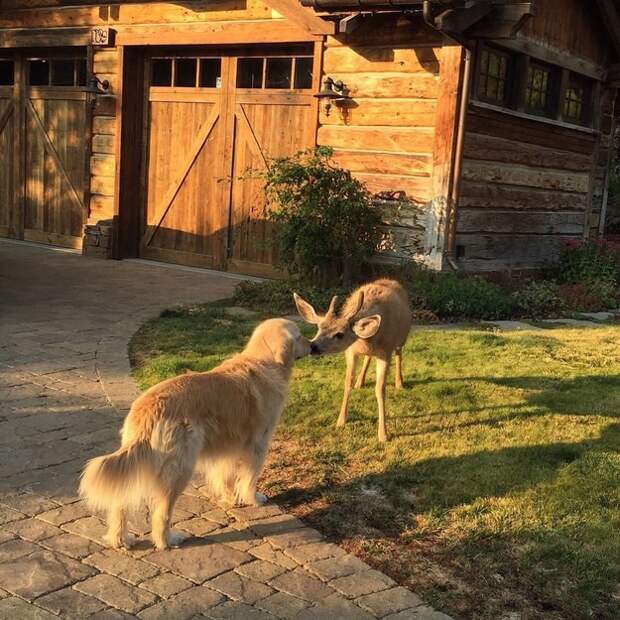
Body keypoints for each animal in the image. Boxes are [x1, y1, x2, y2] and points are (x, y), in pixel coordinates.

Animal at [80, 318, 310, 548]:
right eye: (299, 336)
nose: (313, 346)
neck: (263, 362)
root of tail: (147, 410)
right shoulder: (258, 443)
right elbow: (249, 478)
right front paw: (253, 499)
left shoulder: (227, 445)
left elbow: (225, 476)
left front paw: (229, 498)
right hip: (180, 467)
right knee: (161, 514)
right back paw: (168, 540)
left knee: (120, 503)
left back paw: (121, 539)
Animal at [294, 278, 412, 444]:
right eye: (319, 327)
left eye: (340, 334)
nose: (313, 346)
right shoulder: (351, 351)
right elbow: (347, 383)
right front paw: (340, 421)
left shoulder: (385, 351)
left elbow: (380, 389)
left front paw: (383, 434)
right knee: (369, 357)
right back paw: (360, 382)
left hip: (401, 338)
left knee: (399, 354)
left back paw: (399, 383)